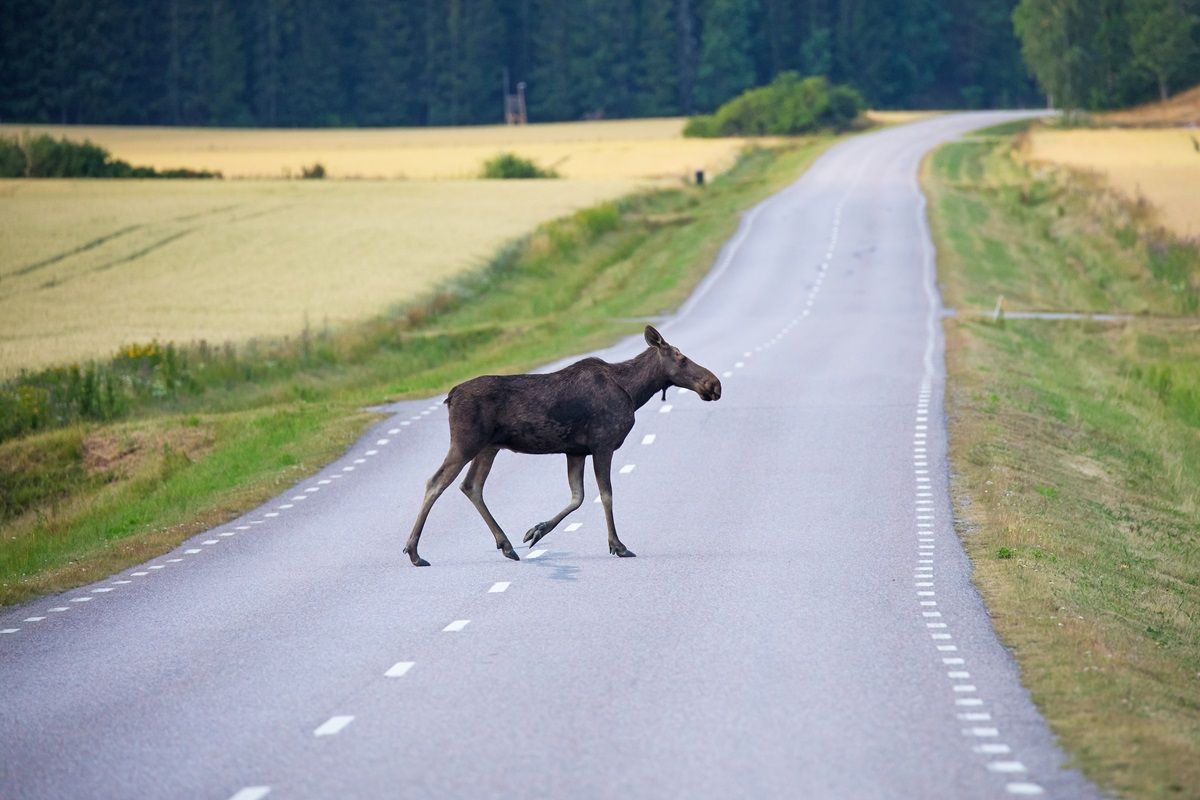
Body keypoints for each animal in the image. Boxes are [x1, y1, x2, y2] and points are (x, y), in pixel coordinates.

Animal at [403, 321, 720, 566]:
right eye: (681, 358)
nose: (714, 384)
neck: (634, 391)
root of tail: (450, 396)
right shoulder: (602, 444)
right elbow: (606, 495)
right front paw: (618, 545)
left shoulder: (575, 450)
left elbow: (577, 497)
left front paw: (536, 531)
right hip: (466, 443)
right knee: (436, 482)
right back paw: (414, 552)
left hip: (489, 447)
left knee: (471, 486)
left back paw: (506, 545)